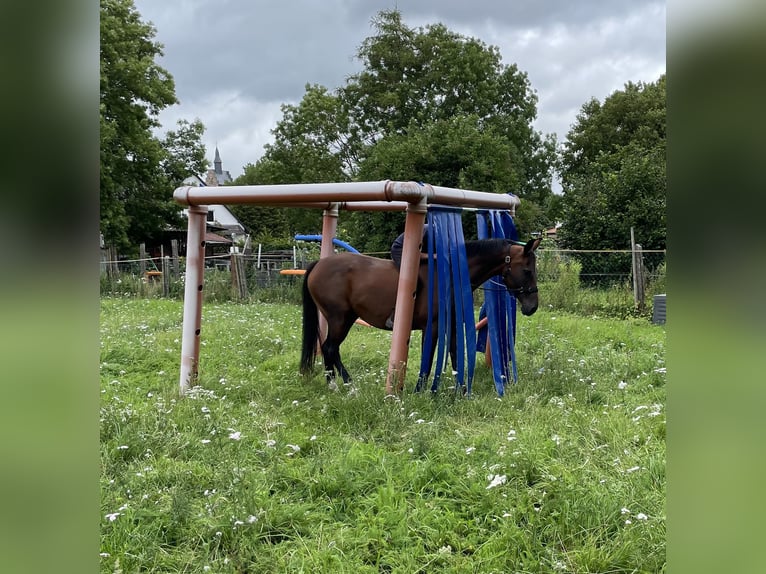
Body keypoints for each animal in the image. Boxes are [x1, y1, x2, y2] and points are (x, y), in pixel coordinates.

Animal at [296, 236, 544, 390]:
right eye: (527, 270)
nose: (532, 307)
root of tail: (318, 264)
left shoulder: (451, 324)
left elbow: (455, 355)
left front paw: (462, 390)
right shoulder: (431, 327)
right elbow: (429, 357)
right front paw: (420, 389)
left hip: (345, 318)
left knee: (332, 349)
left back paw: (344, 384)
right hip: (340, 318)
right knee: (330, 348)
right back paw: (340, 386)